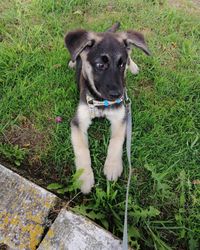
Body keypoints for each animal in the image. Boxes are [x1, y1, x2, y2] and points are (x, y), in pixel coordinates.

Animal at [65, 25, 149, 193]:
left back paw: (134, 66)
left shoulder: (120, 118)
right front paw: (84, 177)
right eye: (100, 65)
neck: (100, 101)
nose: (118, 95)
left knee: (130, 53)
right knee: (76, 55)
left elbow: (116, 141)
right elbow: (82, 149)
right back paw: (73, 61)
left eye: (121, 65)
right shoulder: (78, 122)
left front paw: (113, 166)